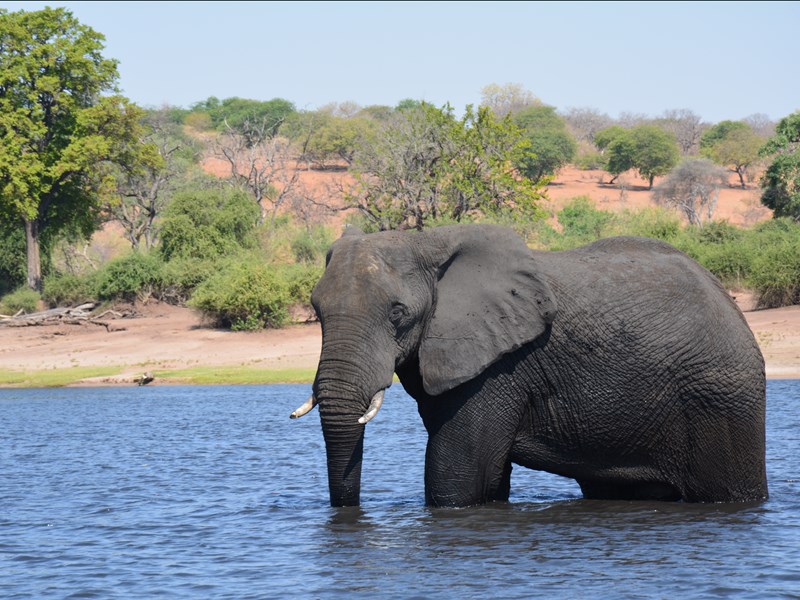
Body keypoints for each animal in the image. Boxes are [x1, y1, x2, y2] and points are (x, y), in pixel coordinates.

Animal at [290, 224, 768, 506]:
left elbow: (457, 478)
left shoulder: (500, 367)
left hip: (721, 398)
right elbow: (486, 478)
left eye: (397, 313)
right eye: (316, 309)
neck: (426, 240)